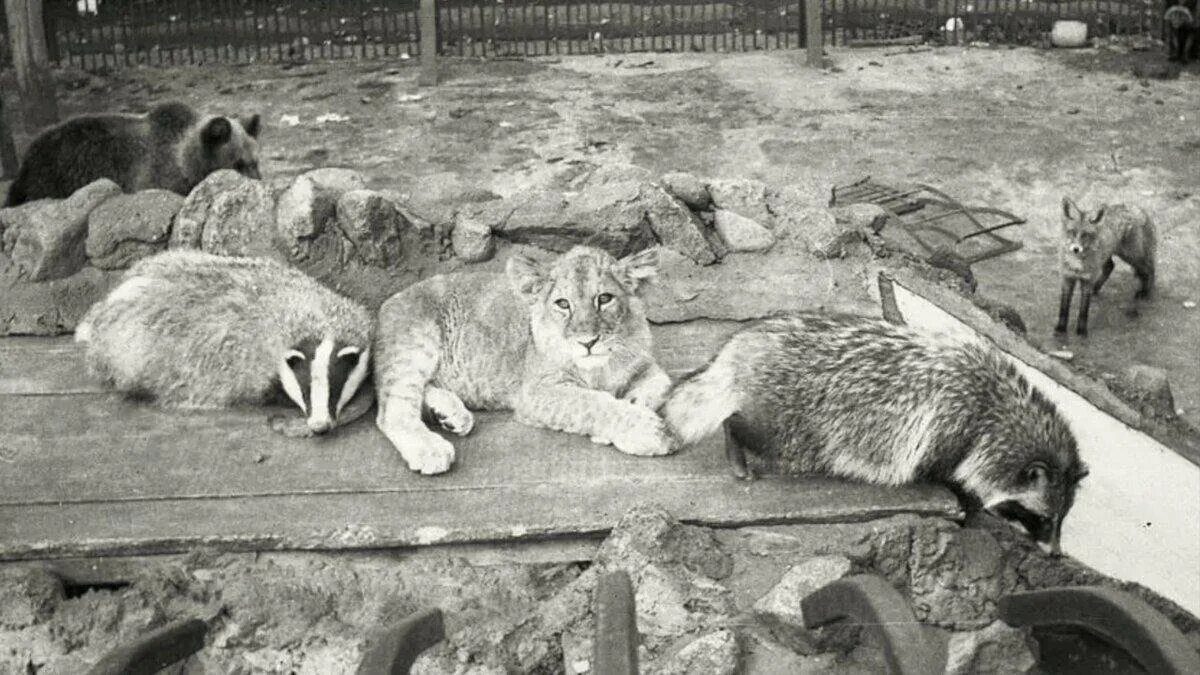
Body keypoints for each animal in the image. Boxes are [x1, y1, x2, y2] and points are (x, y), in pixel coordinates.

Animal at [1056, 198, 1156, 336]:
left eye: (1085, 235)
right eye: (1072, 232)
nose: (1076, 249)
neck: (1077, 263)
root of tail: (1138, 208)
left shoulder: (1087, 280)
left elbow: (1083, 309)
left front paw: (1081, 331)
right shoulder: (1067, 278)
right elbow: (1064, 307)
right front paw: (1060, 329)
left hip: (1131, 256)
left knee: (1149, 269)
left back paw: (1146, 292)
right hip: (1109, 255)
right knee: (1110, 267)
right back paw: (1096, 288)